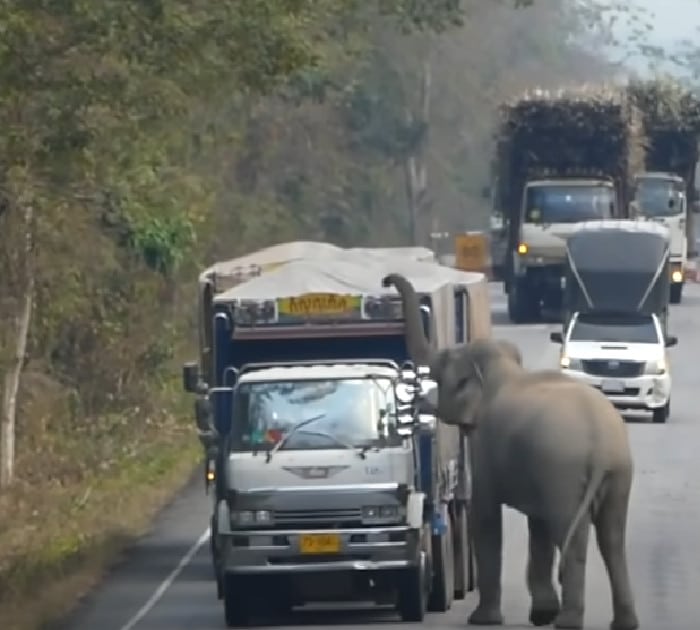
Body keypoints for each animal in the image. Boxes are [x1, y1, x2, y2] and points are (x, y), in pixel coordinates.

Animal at [382, 276, 640, 630]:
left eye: (443, 366)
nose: (385, 282)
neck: (501, 368)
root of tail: (601, 442)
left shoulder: (488, 447)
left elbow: (486, 516)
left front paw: (483, 620)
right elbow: (537, 526)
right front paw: (541, 614)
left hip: (563, 468)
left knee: (572, 535)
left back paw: (568, 622)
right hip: (616, 472)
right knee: (611, 537)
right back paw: (622, 623)